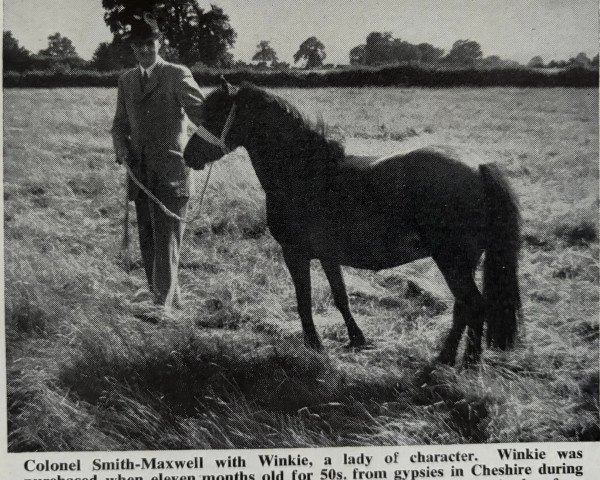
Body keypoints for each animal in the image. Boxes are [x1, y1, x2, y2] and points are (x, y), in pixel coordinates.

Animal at [184, 81, 520, 364]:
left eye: (215, 116)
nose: (189, 155)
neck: (304, 172)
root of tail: (479, 166)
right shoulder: (328, 256)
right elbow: (341, 297)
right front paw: (357, 338)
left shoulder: (295, 253)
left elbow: (304, 300)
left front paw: (314, 344)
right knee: (469, 307)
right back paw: (461, 360)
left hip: (452, 261)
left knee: (471, 306)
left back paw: (456, 361)